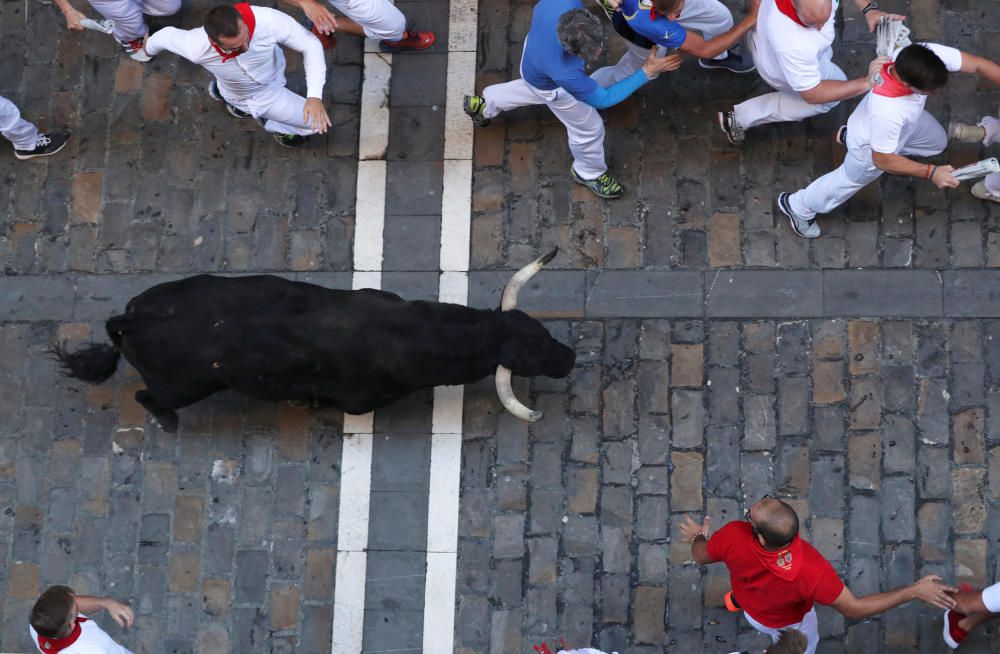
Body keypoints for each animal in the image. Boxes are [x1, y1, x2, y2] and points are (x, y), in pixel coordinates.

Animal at [54, 270, 580, 430]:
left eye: (538, 329)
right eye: (530, 355)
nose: (570, 358)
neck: (405, 333)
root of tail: (132, 317)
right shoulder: (356, 403)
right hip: (185, 386)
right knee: (148, 398)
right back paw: (167, 422)